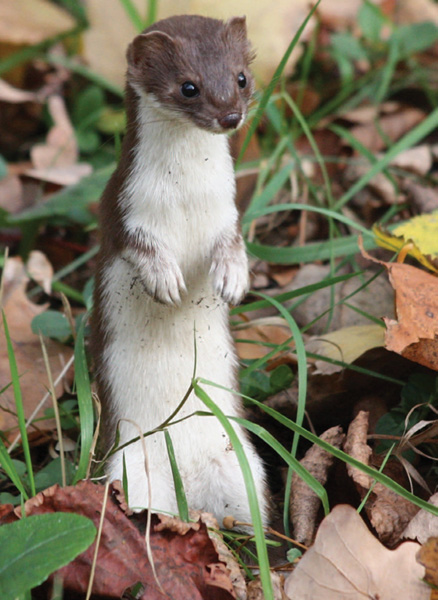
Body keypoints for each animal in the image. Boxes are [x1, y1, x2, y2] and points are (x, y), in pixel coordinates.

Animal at [91, 14, 268, 528]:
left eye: (240, 77)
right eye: (189, 86)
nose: (230, 116)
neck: (187, 197)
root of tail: (191, 489)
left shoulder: (227, 212)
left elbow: (232, 242)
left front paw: (233, 277)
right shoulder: (122, 208)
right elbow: (138, 244)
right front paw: (165, 278)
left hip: (244, 465)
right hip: (129, 466)